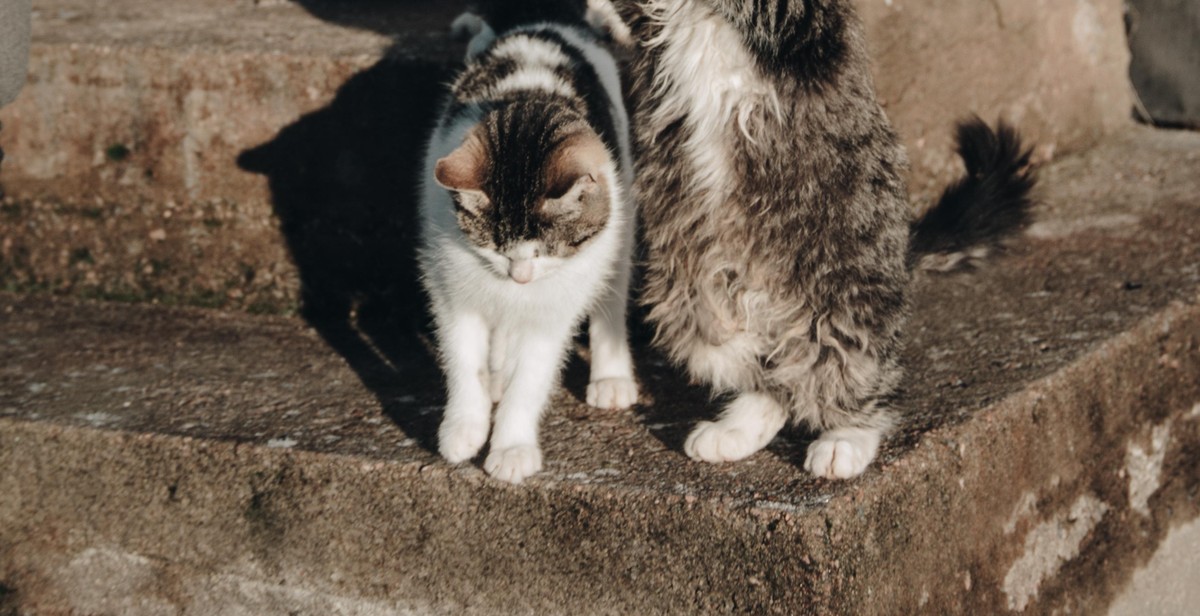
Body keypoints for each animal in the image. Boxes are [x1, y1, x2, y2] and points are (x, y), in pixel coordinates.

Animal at [417, 6, 638, 485]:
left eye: (545, 251)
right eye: (494, 248)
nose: (519, 277)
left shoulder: (552, 307)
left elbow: (532, 376)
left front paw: (512, 448)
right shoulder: (451, 287)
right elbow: (463, 357)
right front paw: (463, 427)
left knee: (611, 291)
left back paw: (611, 377)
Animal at [604, 0, 1036, 477]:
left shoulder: (794, 23)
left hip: (844, 292)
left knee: (857, 377)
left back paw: (845, 440)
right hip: (688, 303)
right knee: (770, 376)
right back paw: (737, 425)